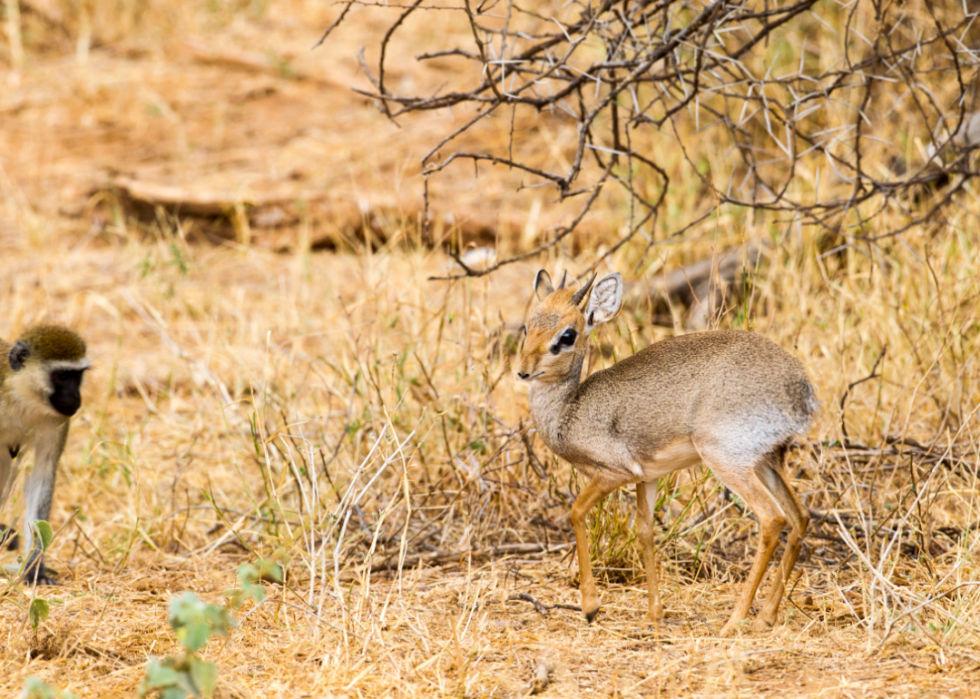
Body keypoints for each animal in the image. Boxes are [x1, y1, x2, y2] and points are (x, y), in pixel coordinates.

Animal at [0, 326, 88, 584]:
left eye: (77, 377)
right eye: (62, 376)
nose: (76, 397)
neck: (22, 400)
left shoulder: (57, 422)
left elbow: (42, 475)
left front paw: (34, 566)